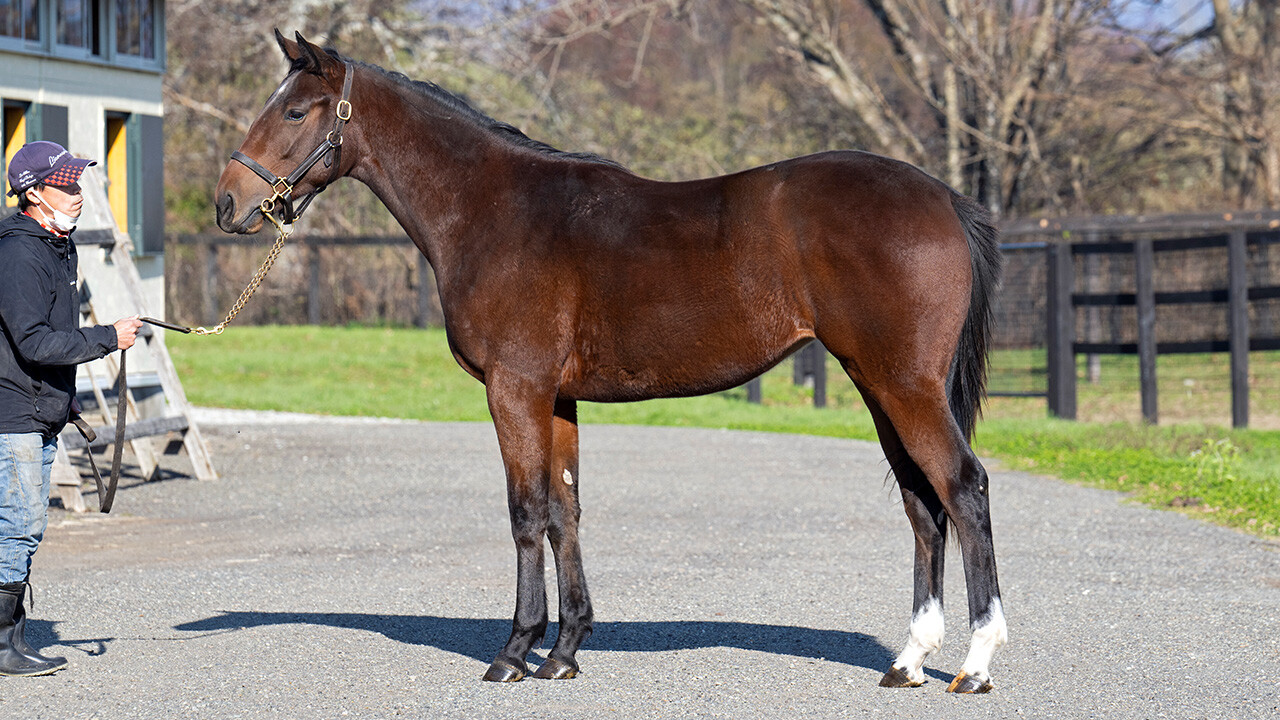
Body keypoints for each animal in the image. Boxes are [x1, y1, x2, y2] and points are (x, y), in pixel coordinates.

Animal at [215, 32, 1003, 691]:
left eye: (296, 111)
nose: (228, 202)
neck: (494, 210)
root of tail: (943, 197)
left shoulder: (514, 390)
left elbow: (526, 512)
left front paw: (514, 652)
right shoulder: (556, 398)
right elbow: (565, 512)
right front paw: (563, 651)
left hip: (904, 385)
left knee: (963, 489)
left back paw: (975, 664)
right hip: (877, 385)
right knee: (922, 504)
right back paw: (909, 659)